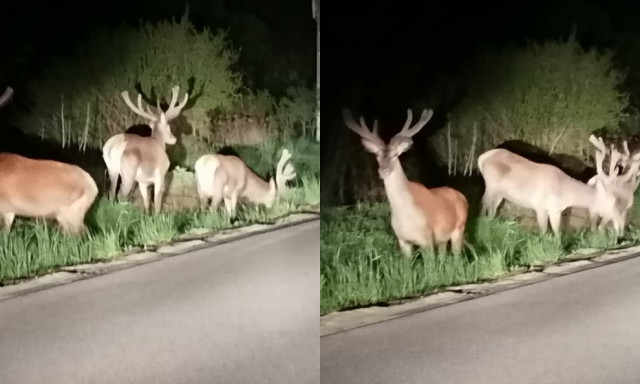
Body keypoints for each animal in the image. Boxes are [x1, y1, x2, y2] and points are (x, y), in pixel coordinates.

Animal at [102, 85, 188, 214]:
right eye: (168, 126)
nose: (174, 139)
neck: (159, 143)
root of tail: (110, 147)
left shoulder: (143, 181)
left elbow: (146, 202)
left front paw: (147, 215)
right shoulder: (160, 174)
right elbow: (157, 201)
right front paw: (157, 216)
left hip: (112, 169)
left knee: (111, 193)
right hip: (128, 173)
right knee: (120, 195)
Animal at [340, 107, 470, 255]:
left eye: (395, 155)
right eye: (377, 155)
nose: (383, 170)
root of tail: (463, 197)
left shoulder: (427, 238)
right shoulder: (402, 240)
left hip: (459, 229)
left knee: (457, 256)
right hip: (442, 238)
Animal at [478, 135, 624, 237]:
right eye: (613, 200)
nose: (620, 225)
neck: (564, 194)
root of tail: (482, 157)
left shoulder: (556, 211)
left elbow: (557, 233)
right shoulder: (540, 206)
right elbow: (543, 231)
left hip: (500, 194)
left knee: (492, 208)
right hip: (491, 184)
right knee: (483, 202)